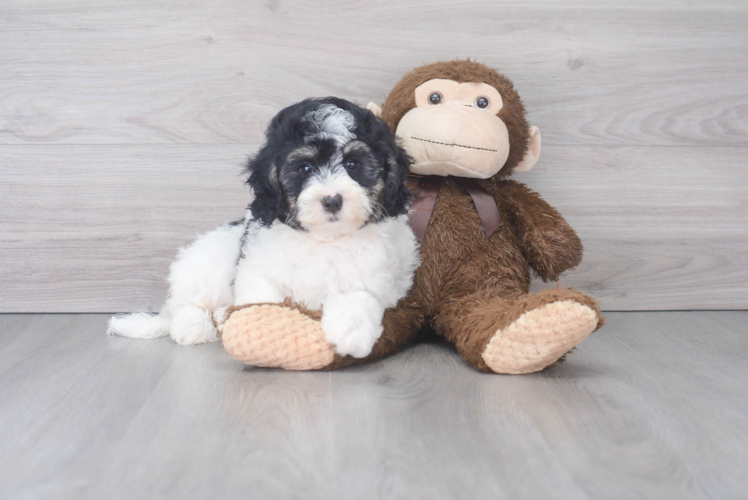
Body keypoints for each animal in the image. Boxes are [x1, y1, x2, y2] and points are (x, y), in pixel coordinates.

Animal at [106, 97, 420, 358]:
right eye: (305, 168)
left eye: (353, 164)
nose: (332, 200)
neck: (323, 238)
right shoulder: (259, 269)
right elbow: (263, 297)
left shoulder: (378, 275)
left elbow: (358, 293)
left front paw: (351, 332)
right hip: (207, 262)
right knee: (185, 304)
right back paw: (194, 326)